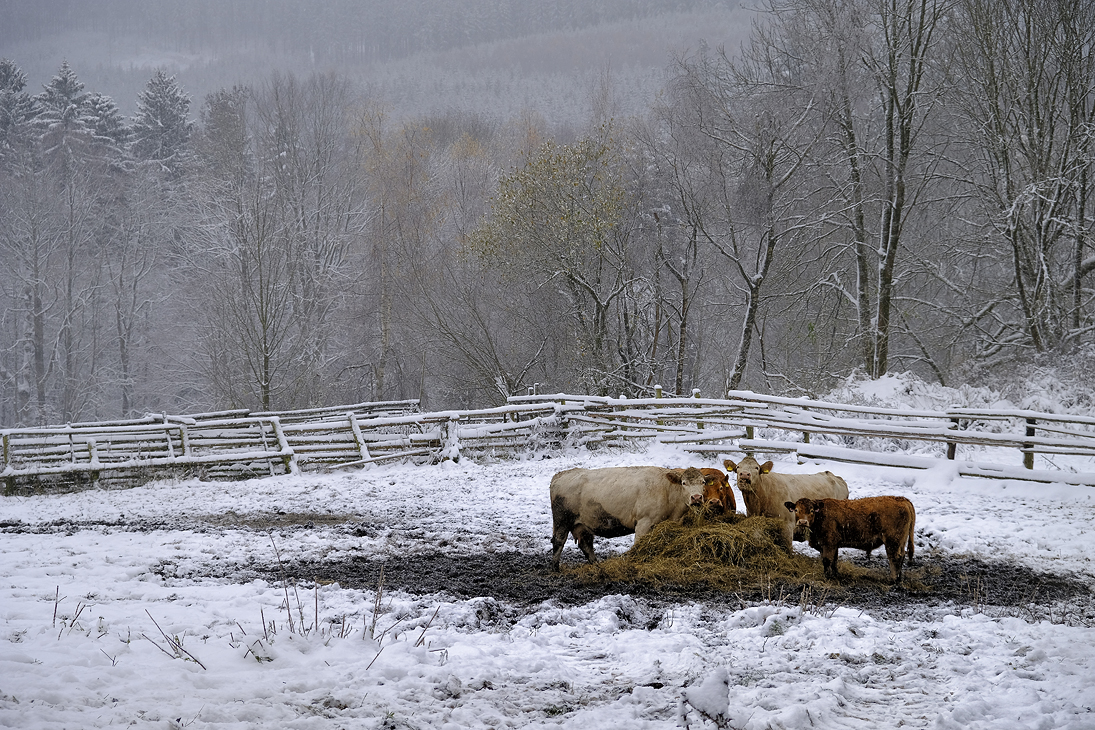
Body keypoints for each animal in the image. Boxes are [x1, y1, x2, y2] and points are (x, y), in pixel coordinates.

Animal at [551, 468, 705, 569]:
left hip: (582, 524)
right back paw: (555, 567)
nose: (696, 497)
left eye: (703, 482)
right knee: (558, 541)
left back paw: (596, 564)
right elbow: (638, 544)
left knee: (586, 544)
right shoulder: (644, 522)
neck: (667, 491)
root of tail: (559, 475)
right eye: (684, 483)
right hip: (562, 521)